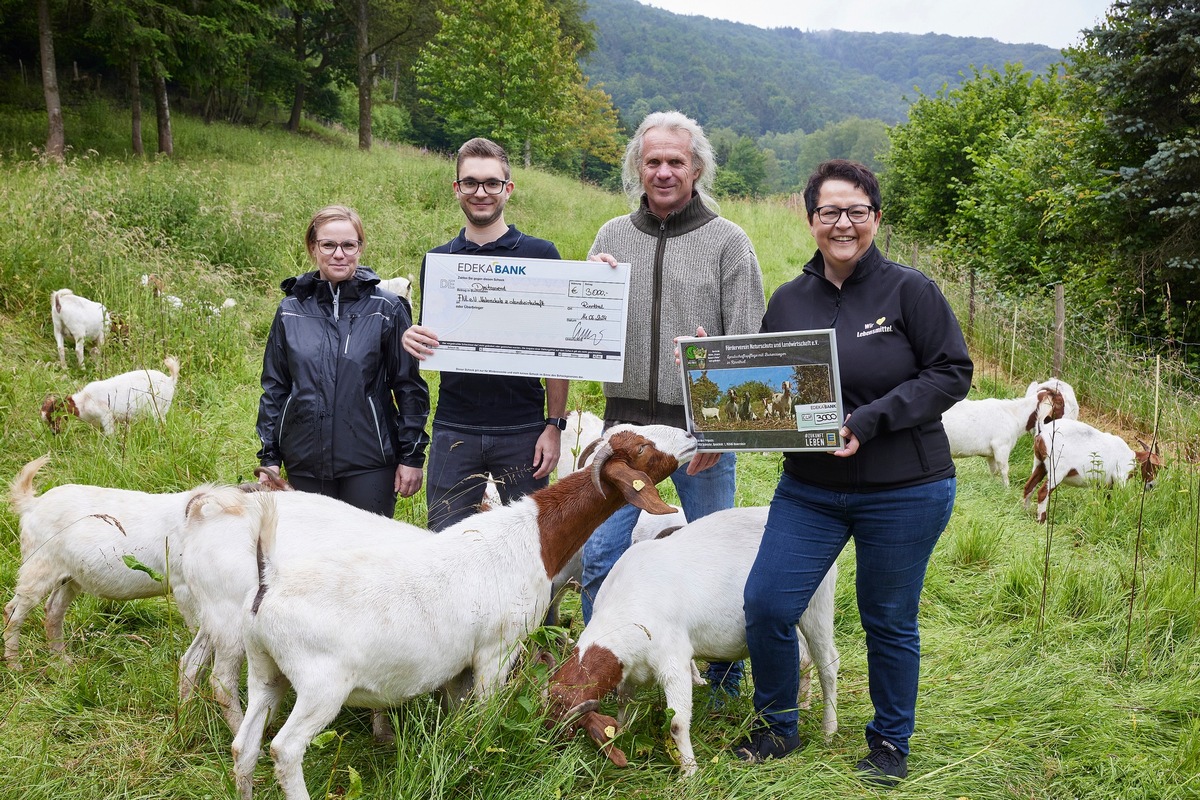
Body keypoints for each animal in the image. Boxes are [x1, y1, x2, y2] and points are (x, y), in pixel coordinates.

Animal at [42, 355, 180, 434]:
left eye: (51, 417)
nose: (54, 433)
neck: (83, 402)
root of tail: (170, 379)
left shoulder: (106, 415)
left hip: (158, 409)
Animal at [544, 506, 835, 777]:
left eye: (567, 723)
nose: (547, 743)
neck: (628, 606)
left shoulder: (674, 662)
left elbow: (677, 723)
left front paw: (689, 772)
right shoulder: (628, 668)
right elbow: (624, 703)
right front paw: (623, 731)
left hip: (817, 607)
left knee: (828, 665)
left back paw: (828, 730)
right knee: (802, 658)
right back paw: (802, 705)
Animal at [1022, 419, 1161, 525]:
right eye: (1154, 467)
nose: (1152, 485)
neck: (1131, 458)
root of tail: (1043, 430)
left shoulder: (1106, 485)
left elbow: (1106, 500)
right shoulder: (1120, 478)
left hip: (1039, 464)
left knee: (1029, 486)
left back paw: (1026, 511)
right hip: (1057, 470)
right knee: (1042, 492)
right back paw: (1042, 520)